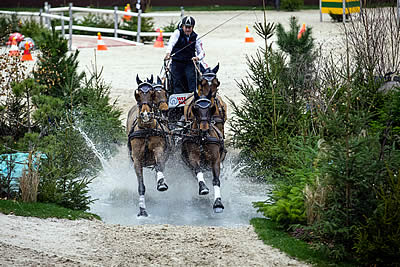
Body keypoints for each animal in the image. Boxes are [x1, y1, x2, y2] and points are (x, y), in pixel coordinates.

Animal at [125, 75, 169, 218]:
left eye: (151, 93)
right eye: (138, 94)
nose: (145, 115)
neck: (146, 130)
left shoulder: (159, 149)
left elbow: (159, 164)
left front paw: (161, 182)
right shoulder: (137, 160)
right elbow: (141, 186)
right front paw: (142, 210)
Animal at [181, 68, 225, 215]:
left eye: (211, 108)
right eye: (195, 108)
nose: (204, 127)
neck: (203, 137)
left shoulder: (215, 159)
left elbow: (216, 180)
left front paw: (218, 202)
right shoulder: (193, 157)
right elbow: (198, 170)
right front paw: (203, 188)